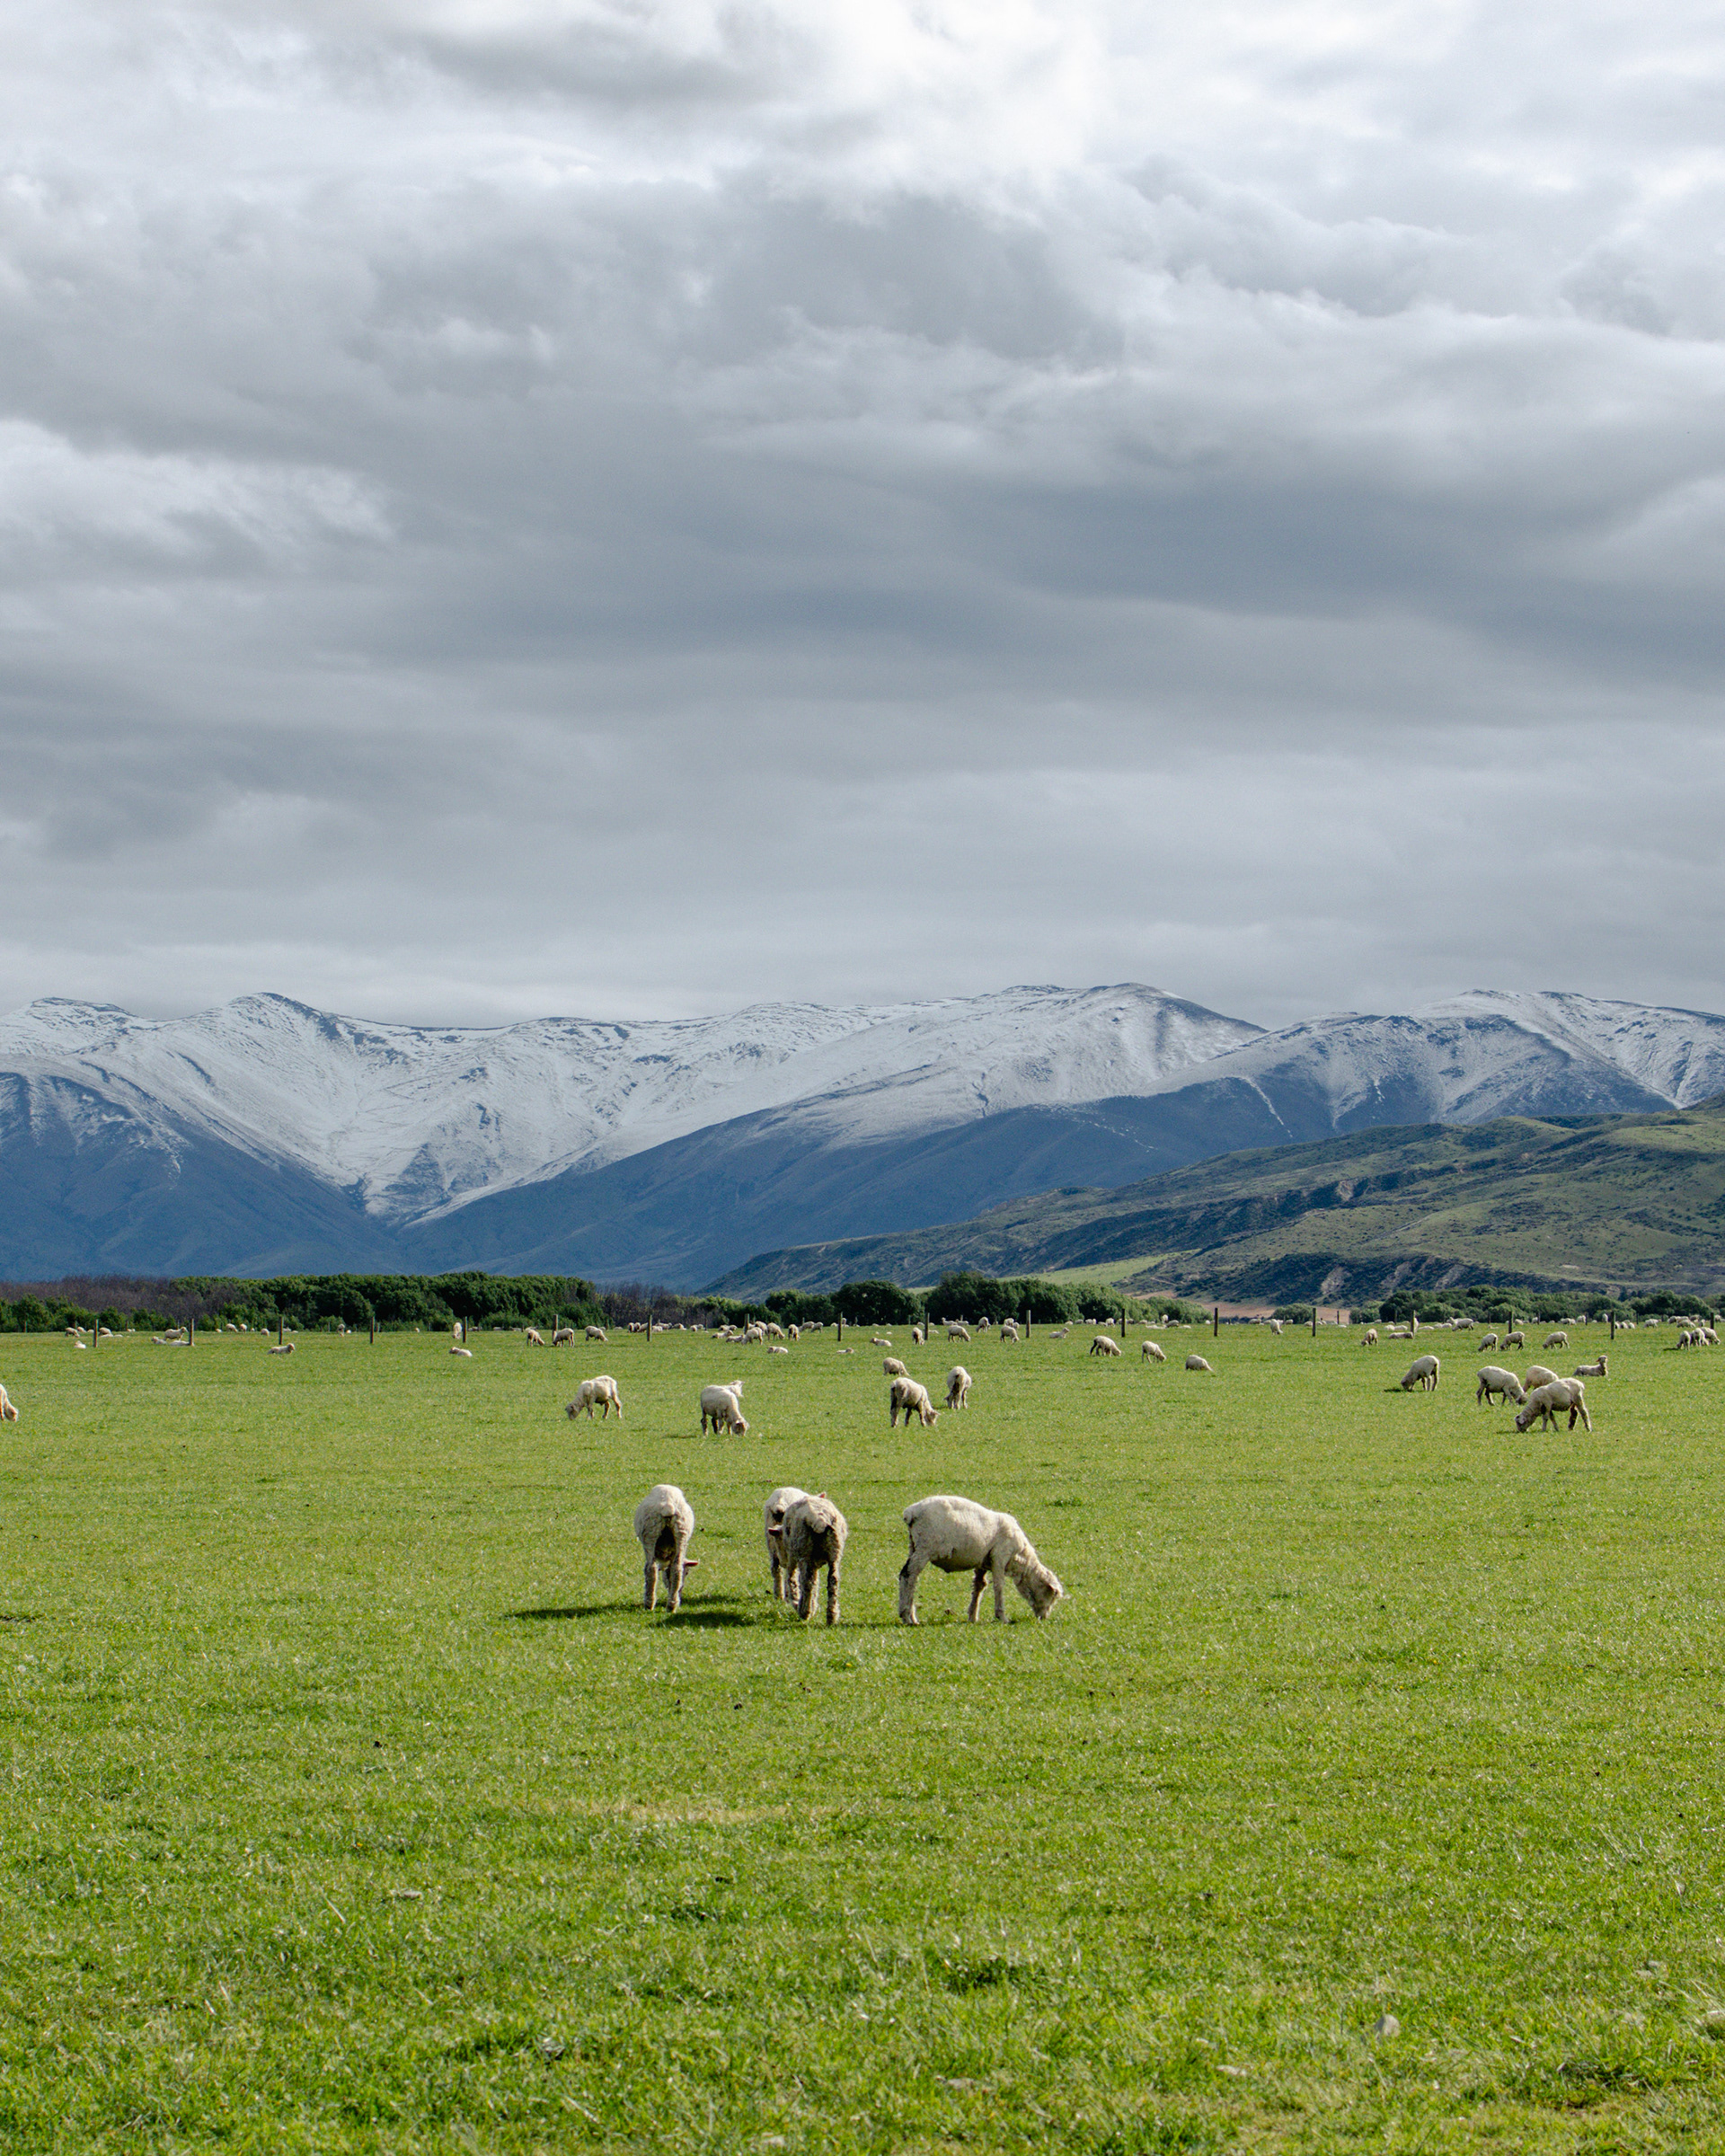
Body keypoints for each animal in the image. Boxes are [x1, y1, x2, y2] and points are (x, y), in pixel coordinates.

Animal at [634, 1484, 697, 1612]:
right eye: (687, 1573)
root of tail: (668, 1504)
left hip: (650, 1533)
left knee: (650, 1569)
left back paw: (649, 1604)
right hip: (681, 1533)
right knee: (676, 1570)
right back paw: (672, 1605)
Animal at [780, 1492, 848, 1625]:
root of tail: (818, 1519)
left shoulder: (792, 1555)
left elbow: (792, 1578)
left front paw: (796, 1601)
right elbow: (816, 1581)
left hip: (803, 1550)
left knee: (806, 1582)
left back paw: (804, 1611)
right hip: (835, 1551)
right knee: (833, 1580)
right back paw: (832, 1616)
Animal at [898, 1494, 1064, 1625]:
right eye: (1051, 1596)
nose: (1044, 1617)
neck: (1020, 1560)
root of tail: (911, 1512)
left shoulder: (982, 1563)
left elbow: (979, 1586)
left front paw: (973, 1616)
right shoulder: (1000, 1557)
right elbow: (999, 1585)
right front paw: (1002, 1617)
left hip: (913, 1546)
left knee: (905, 1574)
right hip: (925, 1548)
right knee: (909, 1575)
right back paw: (908, 1617)